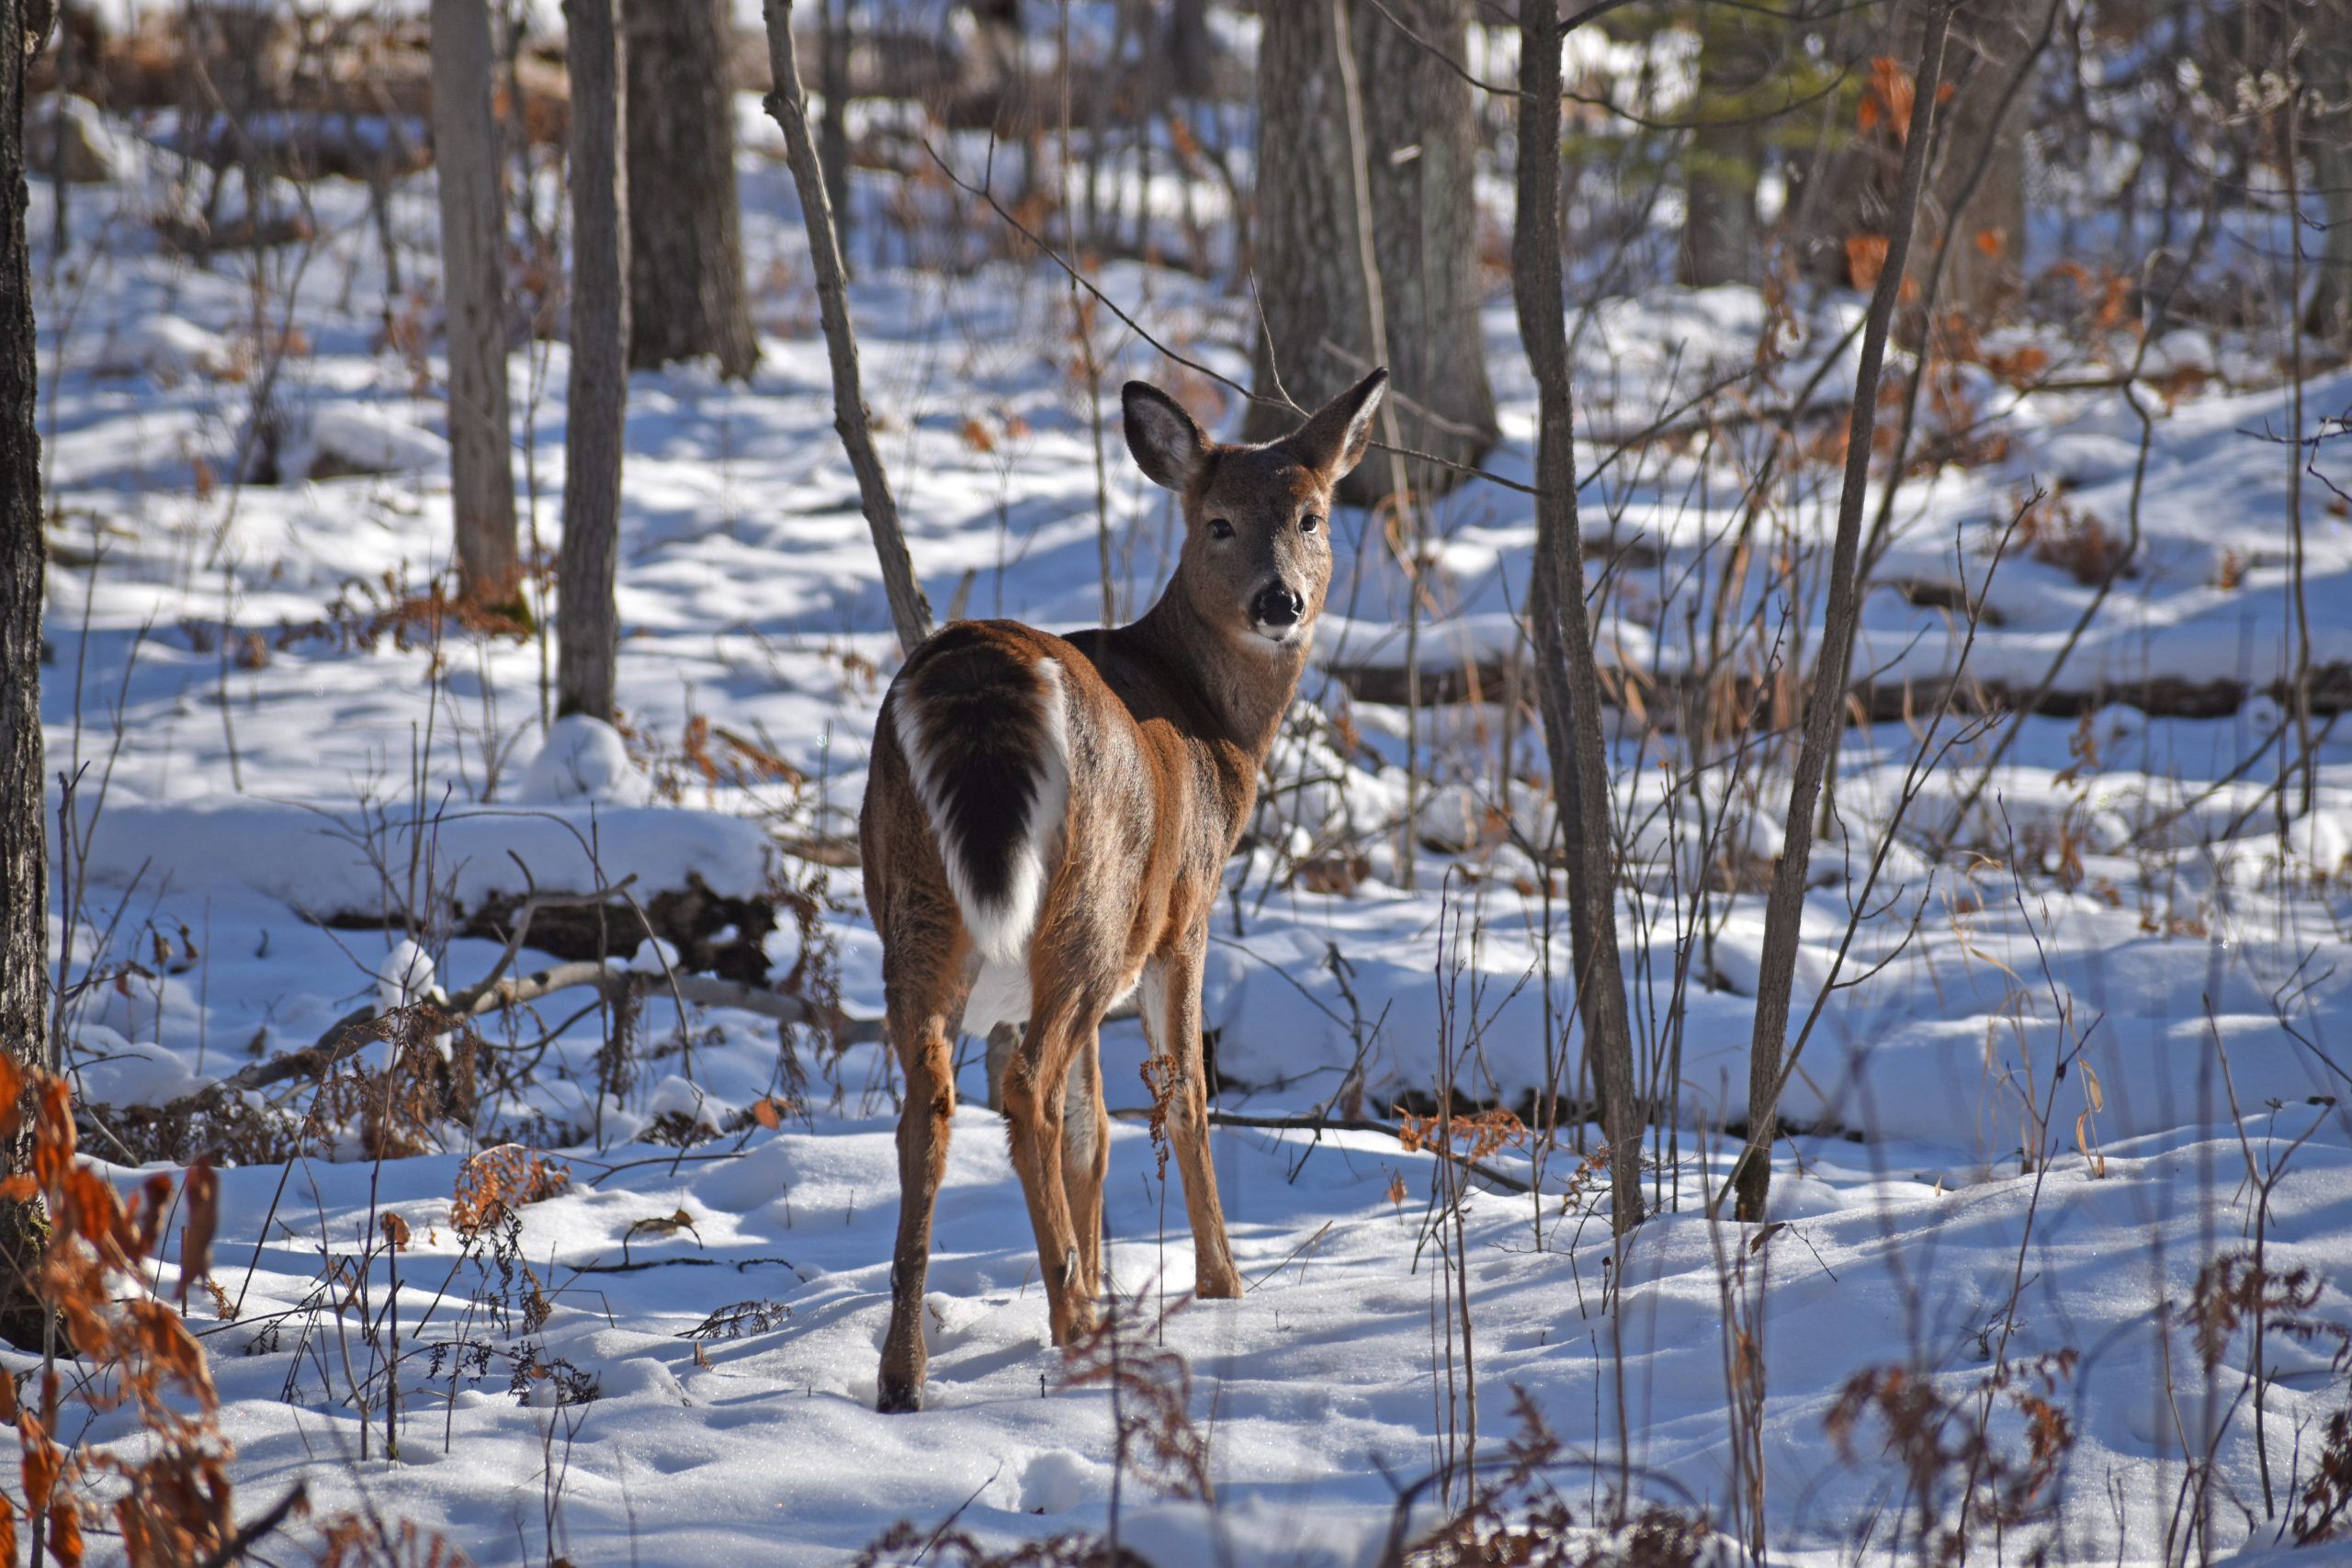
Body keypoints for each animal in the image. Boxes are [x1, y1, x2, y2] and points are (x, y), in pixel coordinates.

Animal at [857, 367, 1388, 1412]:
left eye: (1309, 515)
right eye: (1218, 522)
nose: (1281, 601)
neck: (1213, 725)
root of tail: (977, 674)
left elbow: (1089, 1129)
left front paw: (1101, 1270)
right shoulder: (1184, 916)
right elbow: (1181, 1094)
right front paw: (1221, 1283)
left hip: (913, 901)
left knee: (929, 1104)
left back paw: (906, 1373)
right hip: (1092, 906)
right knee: (1025, 1086)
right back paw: (1074, 1325)